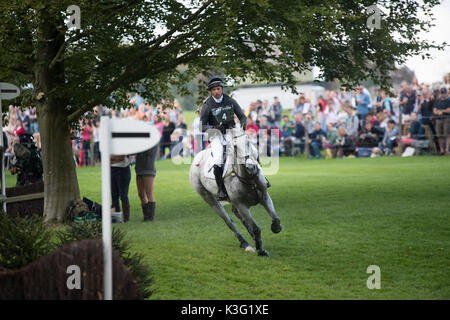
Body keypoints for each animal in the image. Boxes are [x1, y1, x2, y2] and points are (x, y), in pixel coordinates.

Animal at [189, 128, 282, 258]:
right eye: (235, 147)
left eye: (248, 142)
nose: (251, 167)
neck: (249, 178)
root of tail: (197, 157)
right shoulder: (241, 205)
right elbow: (256, 228)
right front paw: (261, 250)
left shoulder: (264, 197)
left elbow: (275, 218)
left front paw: (275, 227)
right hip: (210, 199)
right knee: (229, 221)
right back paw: (245, 244)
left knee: (236, 213)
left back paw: (252, 239)